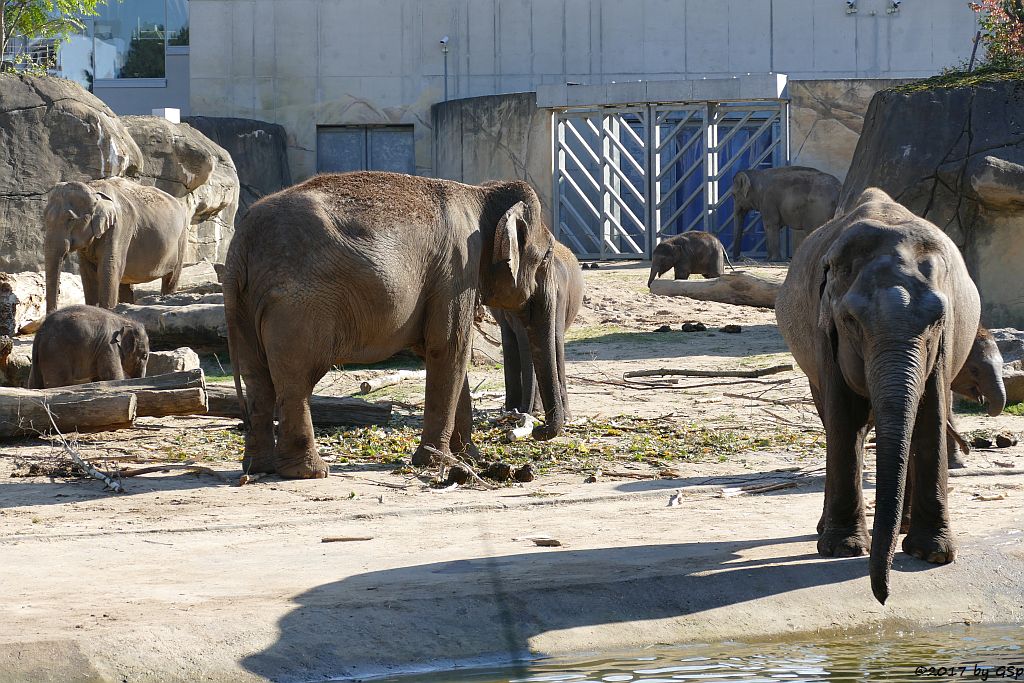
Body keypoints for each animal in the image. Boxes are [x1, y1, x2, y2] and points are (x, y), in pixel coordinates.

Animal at [43, 176, 191, 315]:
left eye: (71, 219)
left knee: (171, 277)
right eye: (45, 219)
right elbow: (87, 273)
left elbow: (109, 268)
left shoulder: (121, 226)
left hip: (182, 236)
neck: (94, 190)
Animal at [774, 187, 983, 602]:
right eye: (851, 320)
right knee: (832, 423)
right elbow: (844, 422)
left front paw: (932, 555)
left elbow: (930, 418)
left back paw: (902, 528)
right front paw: (844, 549)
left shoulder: (945, 342)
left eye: (937, 319)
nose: (883, 596)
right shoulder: (824, 334)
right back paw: (830, 530)